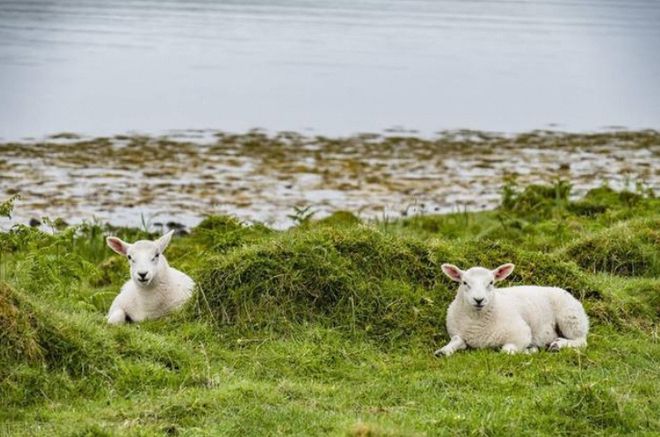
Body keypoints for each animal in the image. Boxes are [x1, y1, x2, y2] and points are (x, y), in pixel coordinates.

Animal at [436, 260, 592, 356]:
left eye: (491, 282)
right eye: (464, 282)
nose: (479, 300)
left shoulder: (521, 333)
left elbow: (506, 351)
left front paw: (530, 350)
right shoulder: (458, 334)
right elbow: (457, 340)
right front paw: (443, 351)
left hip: (570, 318)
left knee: (581, 341)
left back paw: (559, 345)